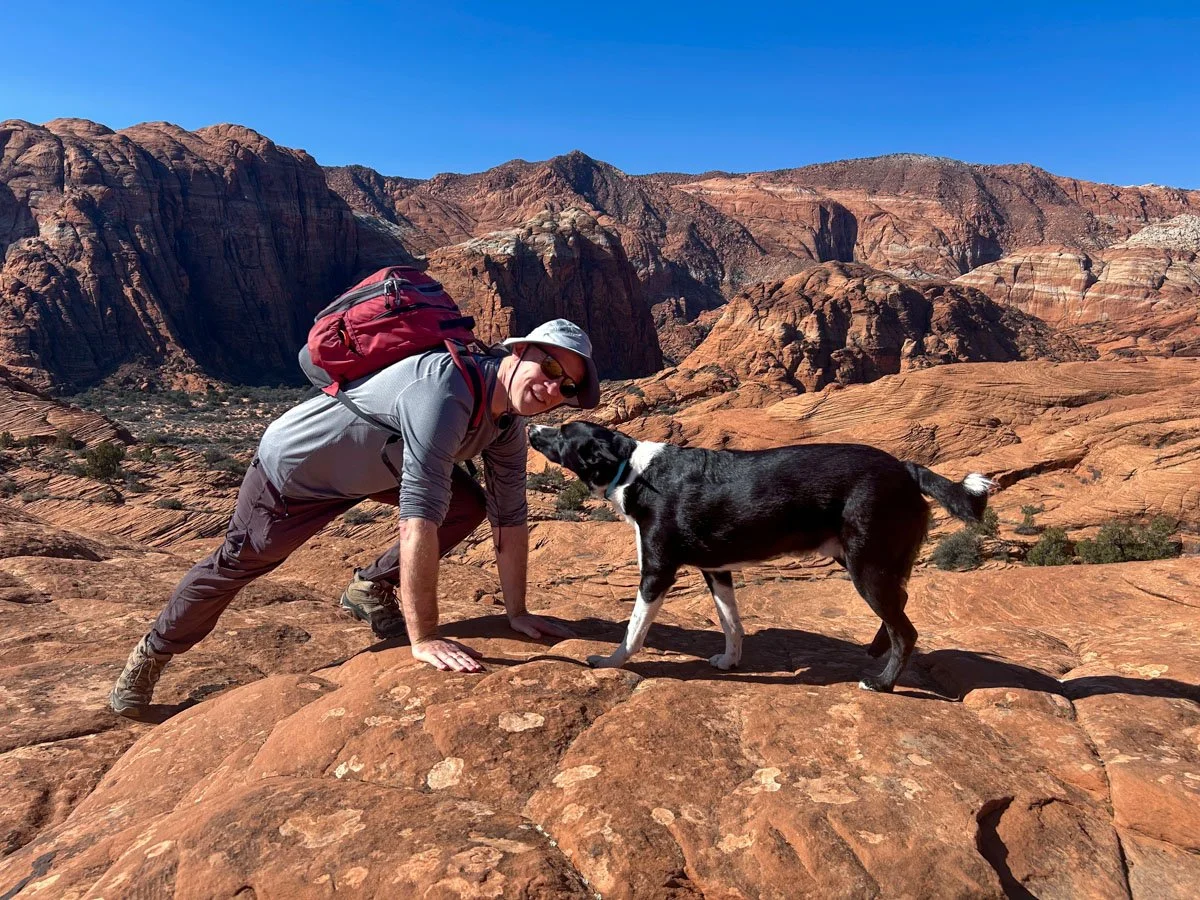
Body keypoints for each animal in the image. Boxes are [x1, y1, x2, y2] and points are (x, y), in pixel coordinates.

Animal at [528, 422, 997, 692]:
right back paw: (875, 648)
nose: (533, 424)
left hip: (866, 565)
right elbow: (731, 623)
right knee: (899, 605)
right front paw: (730, 662)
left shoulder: (657, 572)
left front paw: (610, 661)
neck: (632, 467)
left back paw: (882, 683)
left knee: (906, 630)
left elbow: (634, 628)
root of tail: (906, 468)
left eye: (563, 433)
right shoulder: (717, 571)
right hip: (866, 560)